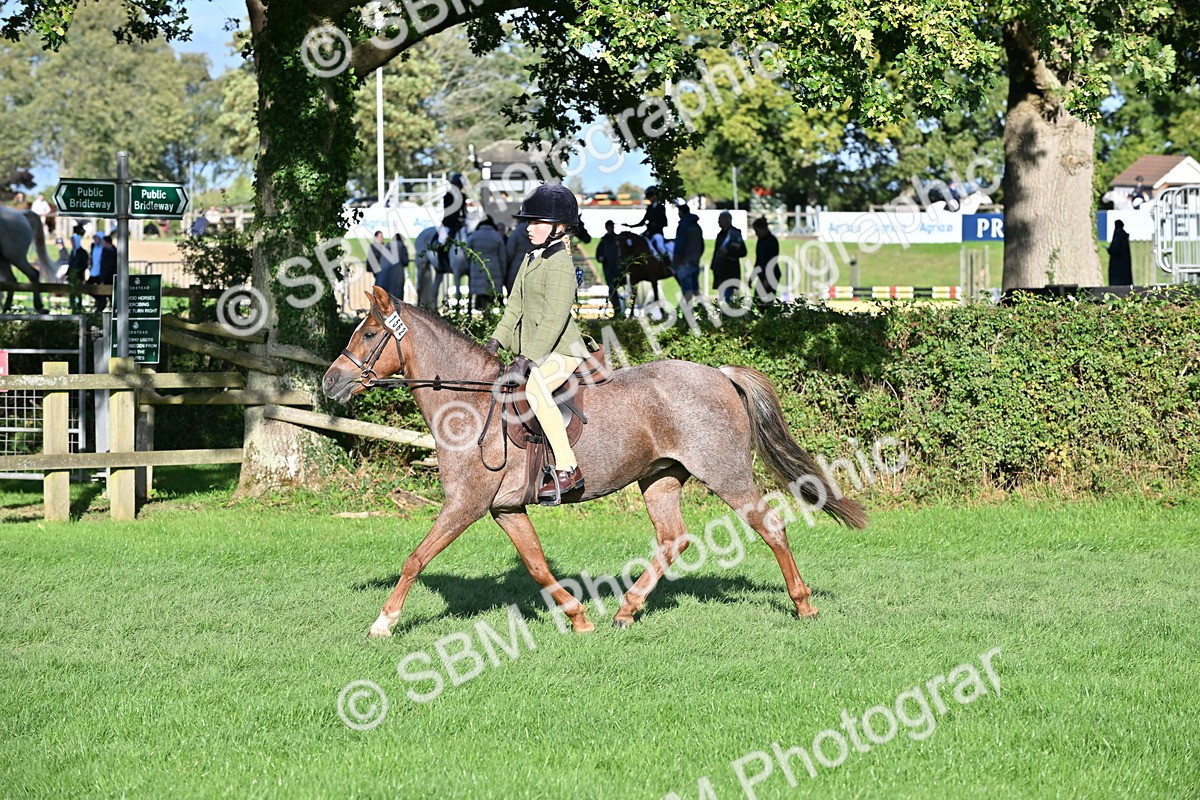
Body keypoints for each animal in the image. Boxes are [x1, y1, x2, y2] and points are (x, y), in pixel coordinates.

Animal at [322, 287, 867, 638]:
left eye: (369, 334)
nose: (330, 383)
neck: (470, 403)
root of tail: (718, 373)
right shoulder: (506, 509)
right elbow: (537, 566)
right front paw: (579, 619)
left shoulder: (466, 504)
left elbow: (416, 558)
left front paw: (383, 623)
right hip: (660, 478)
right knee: (673, 539)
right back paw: (626, 611)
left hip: (726, 475)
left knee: (769, 527)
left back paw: (803, 606)